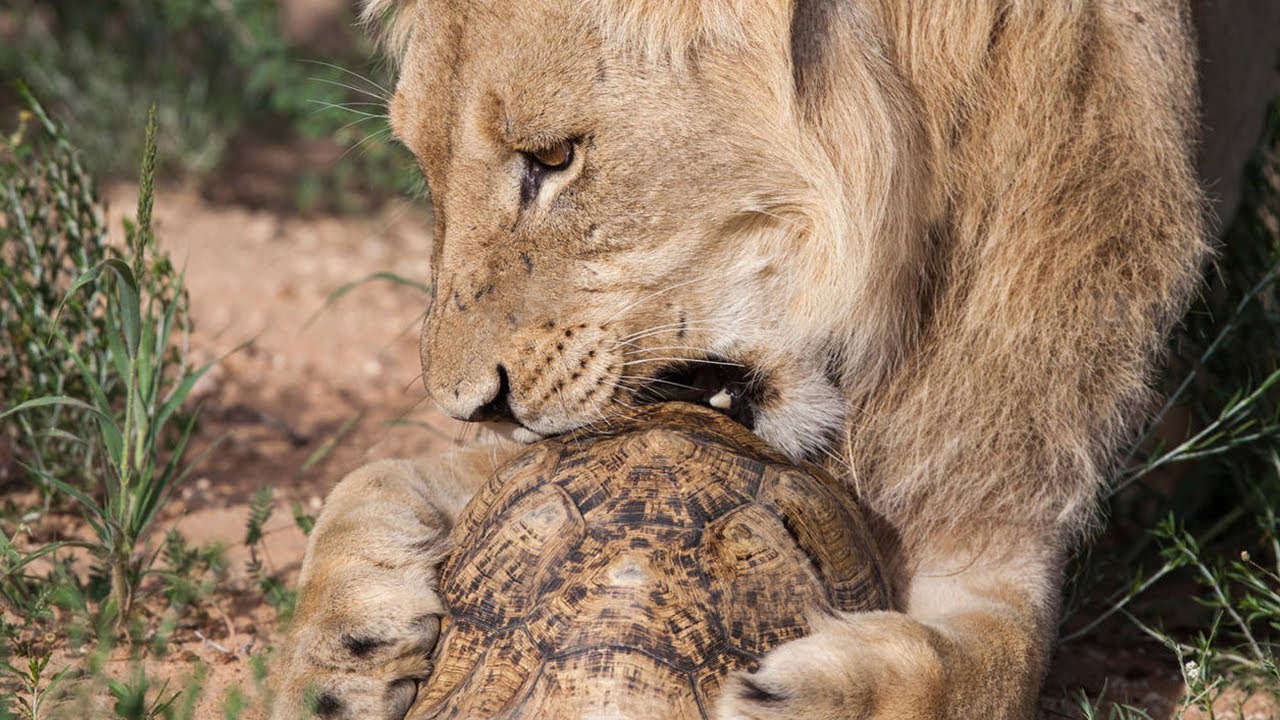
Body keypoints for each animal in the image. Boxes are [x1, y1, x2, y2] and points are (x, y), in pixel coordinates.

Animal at [271, 1, 1207, 718]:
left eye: (553, 157)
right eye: (423, 164)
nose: (474, 406)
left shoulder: (1001, 518)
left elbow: (979, 673)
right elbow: (366, 481)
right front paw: (340, 654)